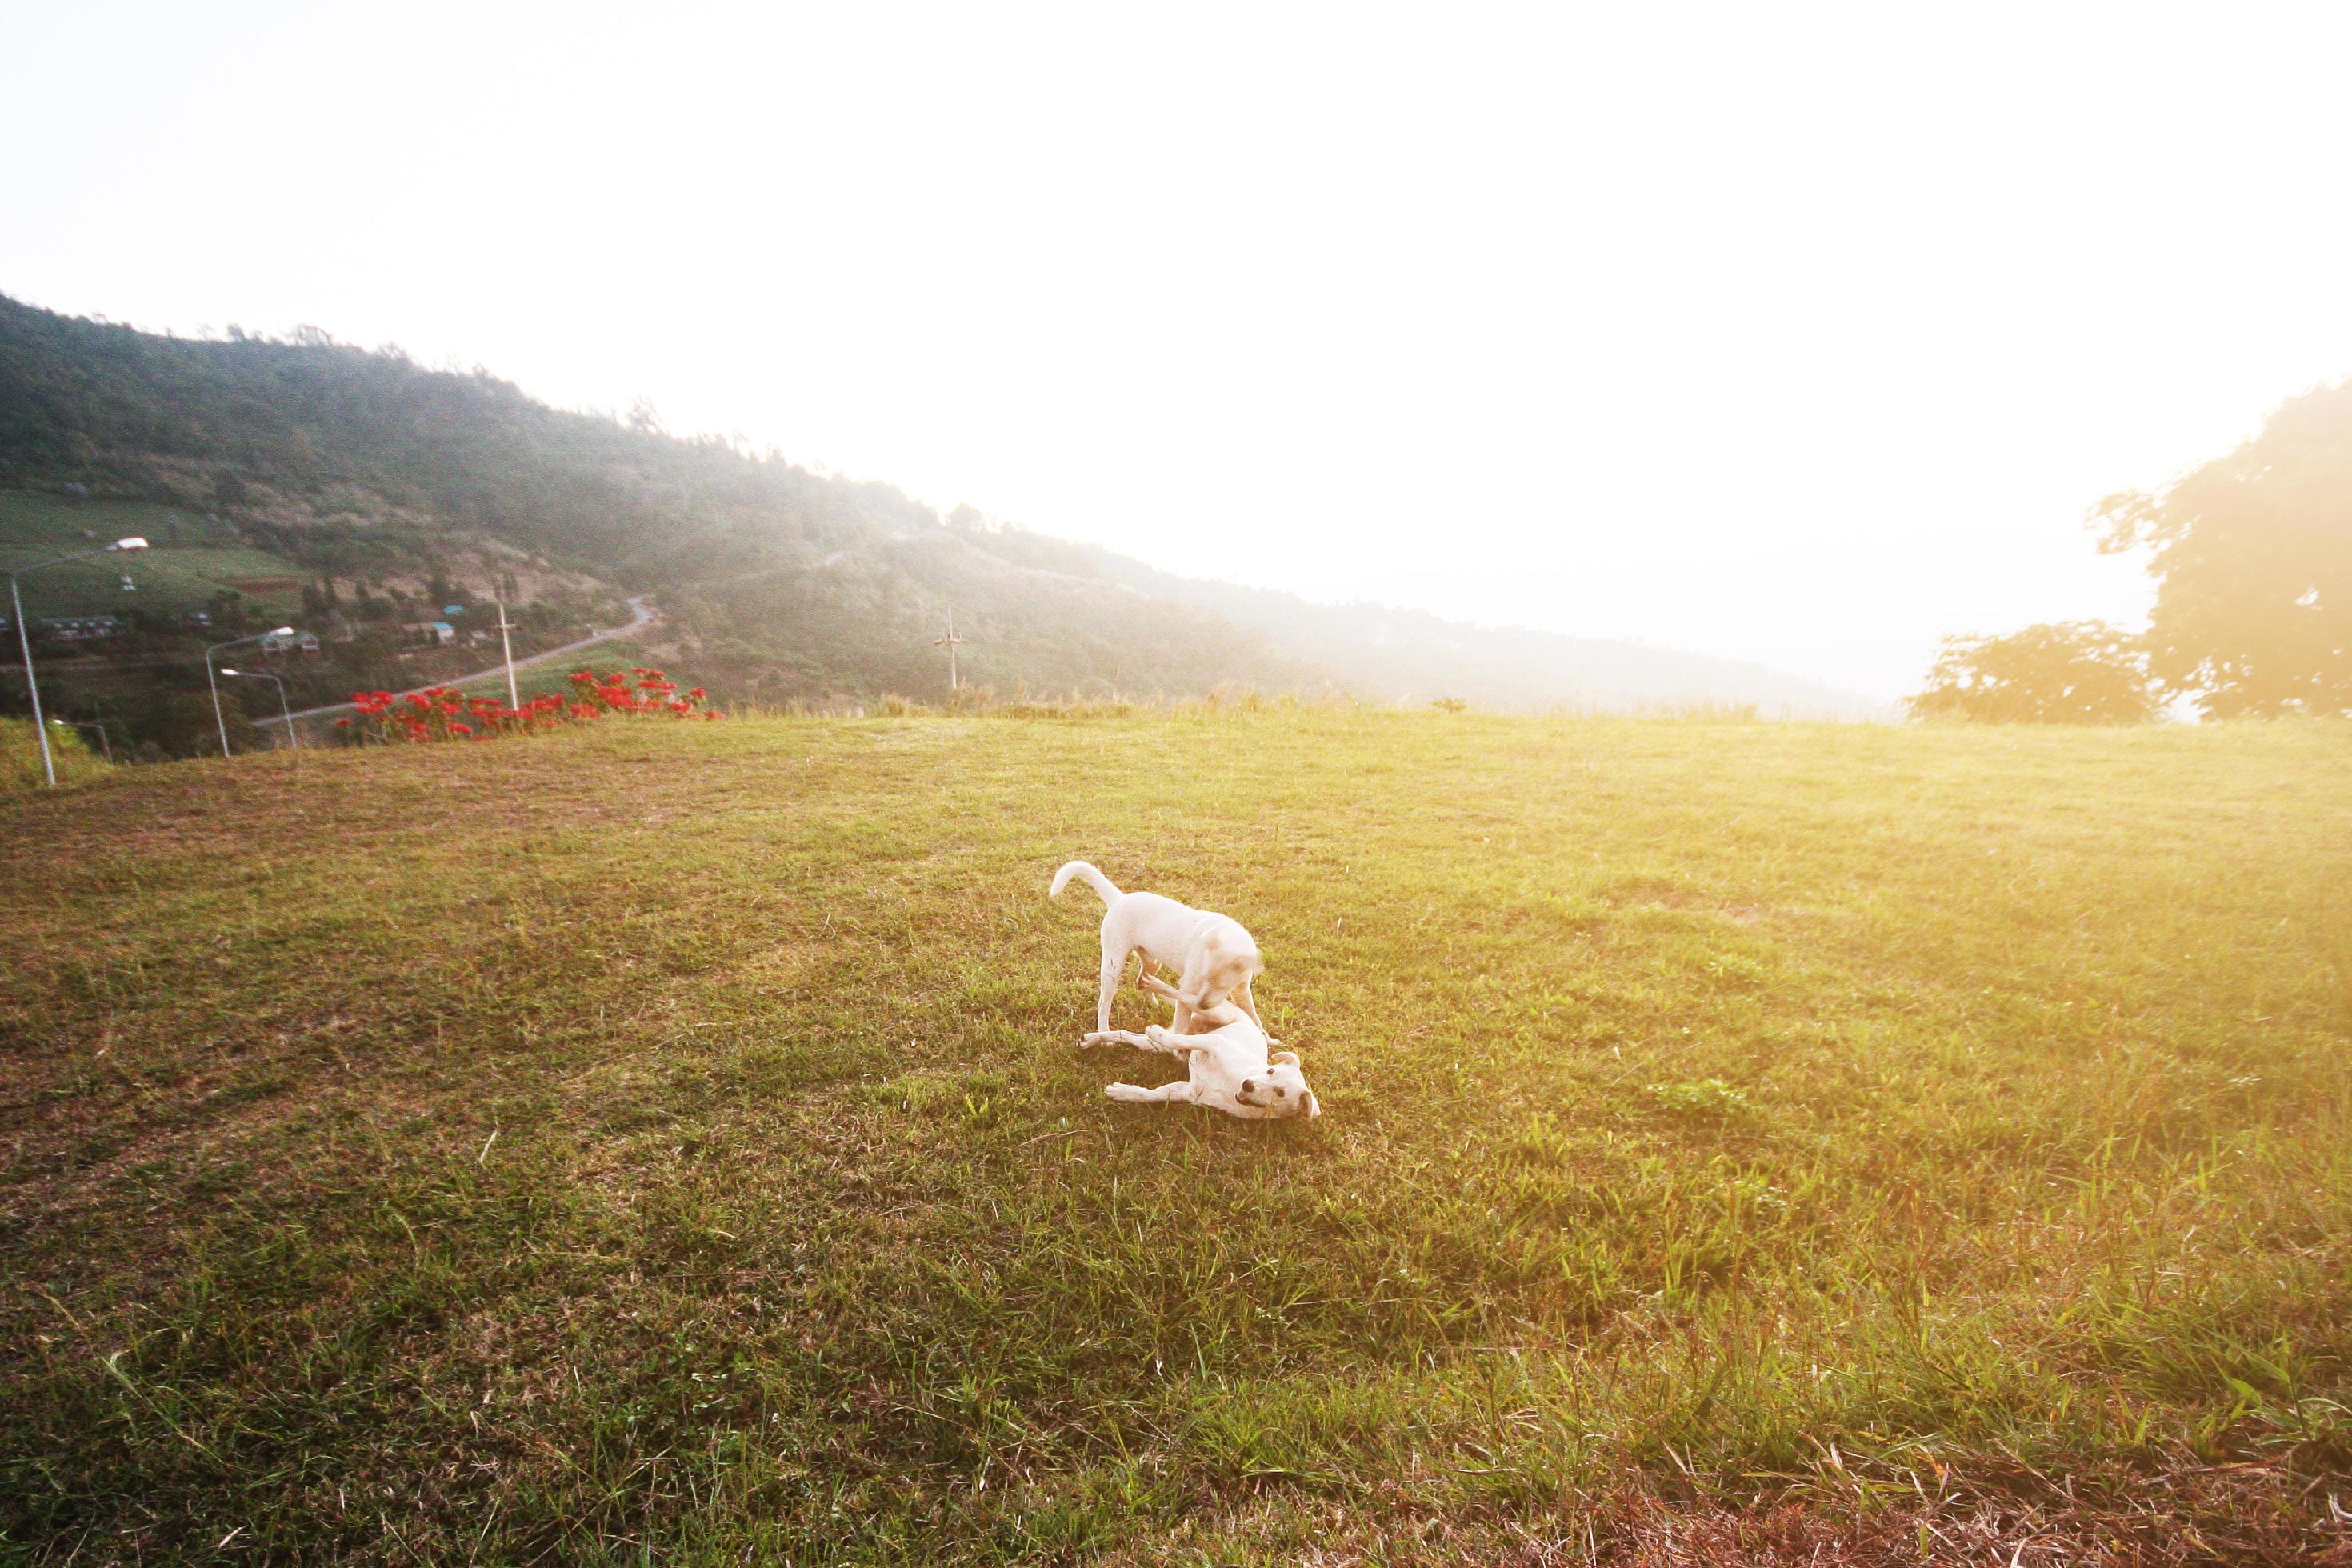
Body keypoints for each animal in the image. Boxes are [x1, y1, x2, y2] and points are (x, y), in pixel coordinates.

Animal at [1086, 973, 1326, 1123]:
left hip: (1155, 1047)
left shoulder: (1187, 1091)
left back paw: (1092, 1039)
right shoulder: (1215, 1043)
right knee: (1186, 997)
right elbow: (1180, 1040)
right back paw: (1154, 985)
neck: (1233, 1084)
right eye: (1270, 1070)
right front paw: (1159, 1033)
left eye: (1280, 1093)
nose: (1248, 1085)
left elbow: (1149, 1095)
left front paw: (1123, 1092)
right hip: (1215, 1012)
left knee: (1127, 1035)